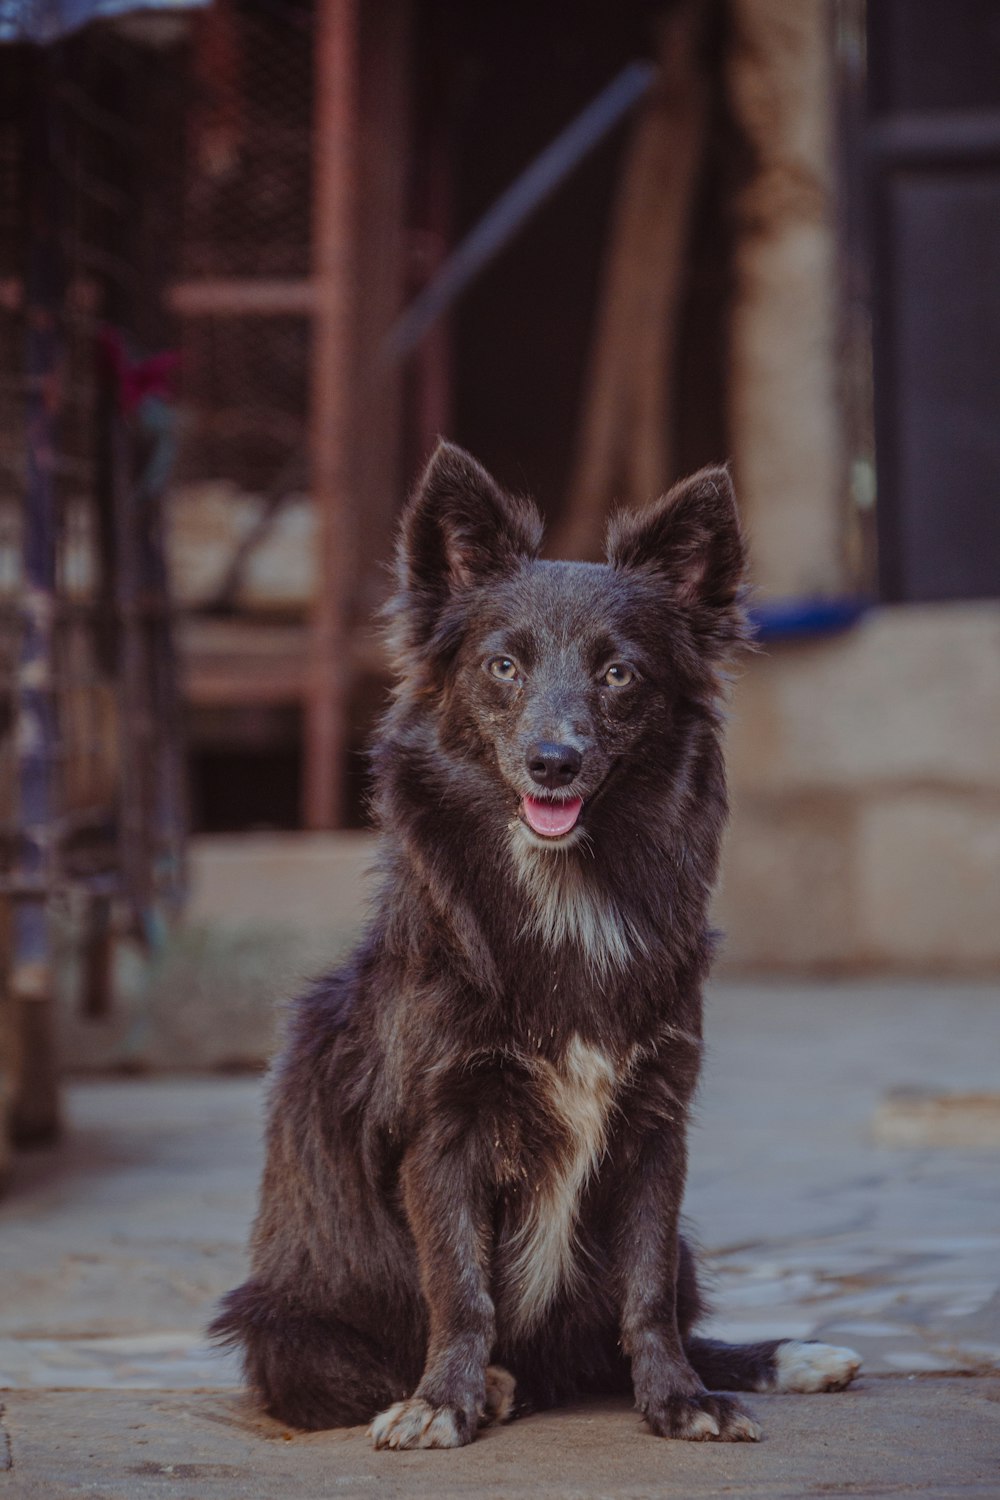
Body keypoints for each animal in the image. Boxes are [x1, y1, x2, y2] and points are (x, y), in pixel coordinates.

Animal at [211, 441, 863, 1440]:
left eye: (619, 674)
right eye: (504, 666)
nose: (553, 762)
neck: (565, 895)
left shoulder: (656, 1124)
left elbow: (645, 1296)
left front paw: (679, 1400)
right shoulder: (442, 1128)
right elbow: (460, 1285)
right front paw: (445, 1400)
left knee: (645, 1319)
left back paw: (785, 1357)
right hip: (283, 1330)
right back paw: (497, 1385)